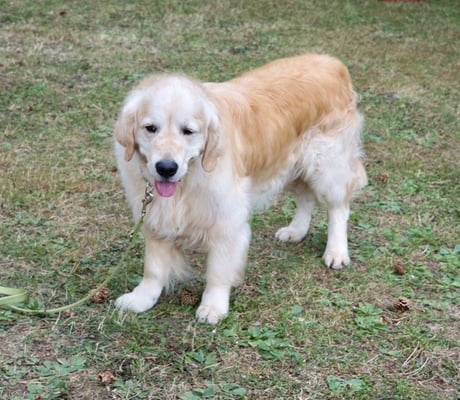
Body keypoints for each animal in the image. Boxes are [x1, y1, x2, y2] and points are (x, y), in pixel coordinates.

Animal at [113, 54, 367, 324]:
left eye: (188, 131)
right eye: (150, 128)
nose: (166, 168)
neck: (189, 178)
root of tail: (332, 61)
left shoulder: (227, 222)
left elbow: (218, 270)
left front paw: (213, 306)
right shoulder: (155, 216)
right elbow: (153, 268)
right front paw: (141, 298)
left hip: (326, 166)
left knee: (339, 208)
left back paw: (336, 251)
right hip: (291, 163)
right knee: (305, 198)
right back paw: (296, 230)